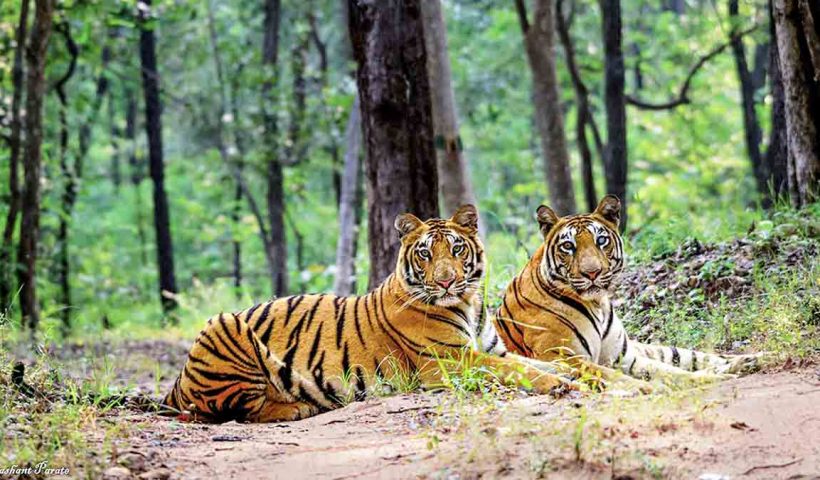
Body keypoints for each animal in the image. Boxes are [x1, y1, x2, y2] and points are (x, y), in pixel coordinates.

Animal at [163, 205, 571, 423]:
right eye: (425, 253)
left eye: (456, 249)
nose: (445, 282)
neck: (467, 304)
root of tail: (177, 382)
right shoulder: (451, 360)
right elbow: (519, 370)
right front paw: (561, 385)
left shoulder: (490, 350)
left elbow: (541, 363)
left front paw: (583, 374)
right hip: (223, 324)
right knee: (240, 410)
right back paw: (298, 408)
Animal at [493, 195, 761, 387]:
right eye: (568, 246)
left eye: (601, 241)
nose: (592, 273)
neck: (597, 304)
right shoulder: (560, 356)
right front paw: (716, 379)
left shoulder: (623, 357)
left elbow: (668, 370)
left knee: (698, 356)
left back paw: (751, 359)